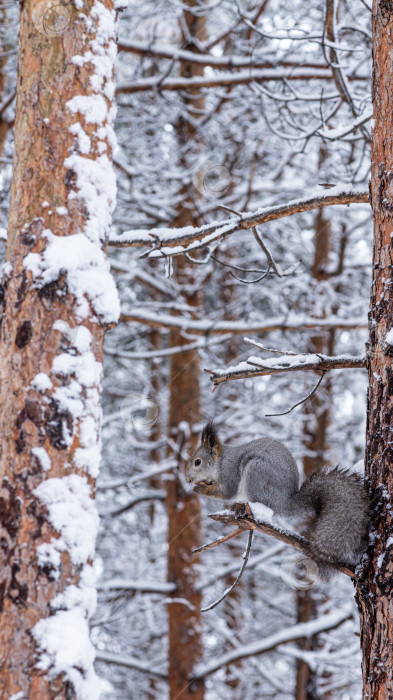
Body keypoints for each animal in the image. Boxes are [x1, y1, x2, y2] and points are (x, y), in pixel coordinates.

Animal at [185, 422, 370, 576]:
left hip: (256, 473)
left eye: (197, 462)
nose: (187, 479)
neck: (220, 463)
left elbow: (225, 492)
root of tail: (285, 502)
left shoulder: (230, 475)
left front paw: (199, 488)